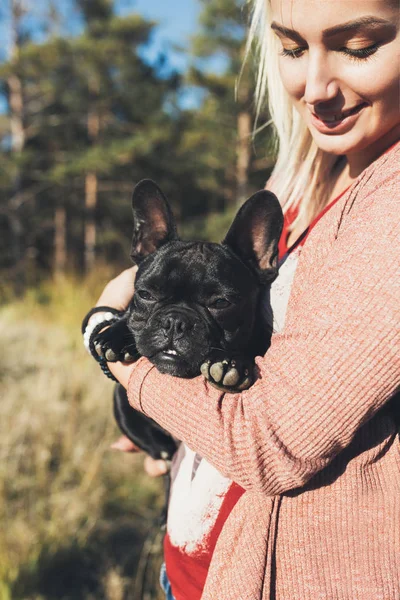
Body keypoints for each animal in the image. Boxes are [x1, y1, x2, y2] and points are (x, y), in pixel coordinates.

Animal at [94, 182, 282, 464]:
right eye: (145, 294)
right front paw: (114, 337)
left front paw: (231, 364)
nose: (175, 321)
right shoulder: (120, 397)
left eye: (221, 303)